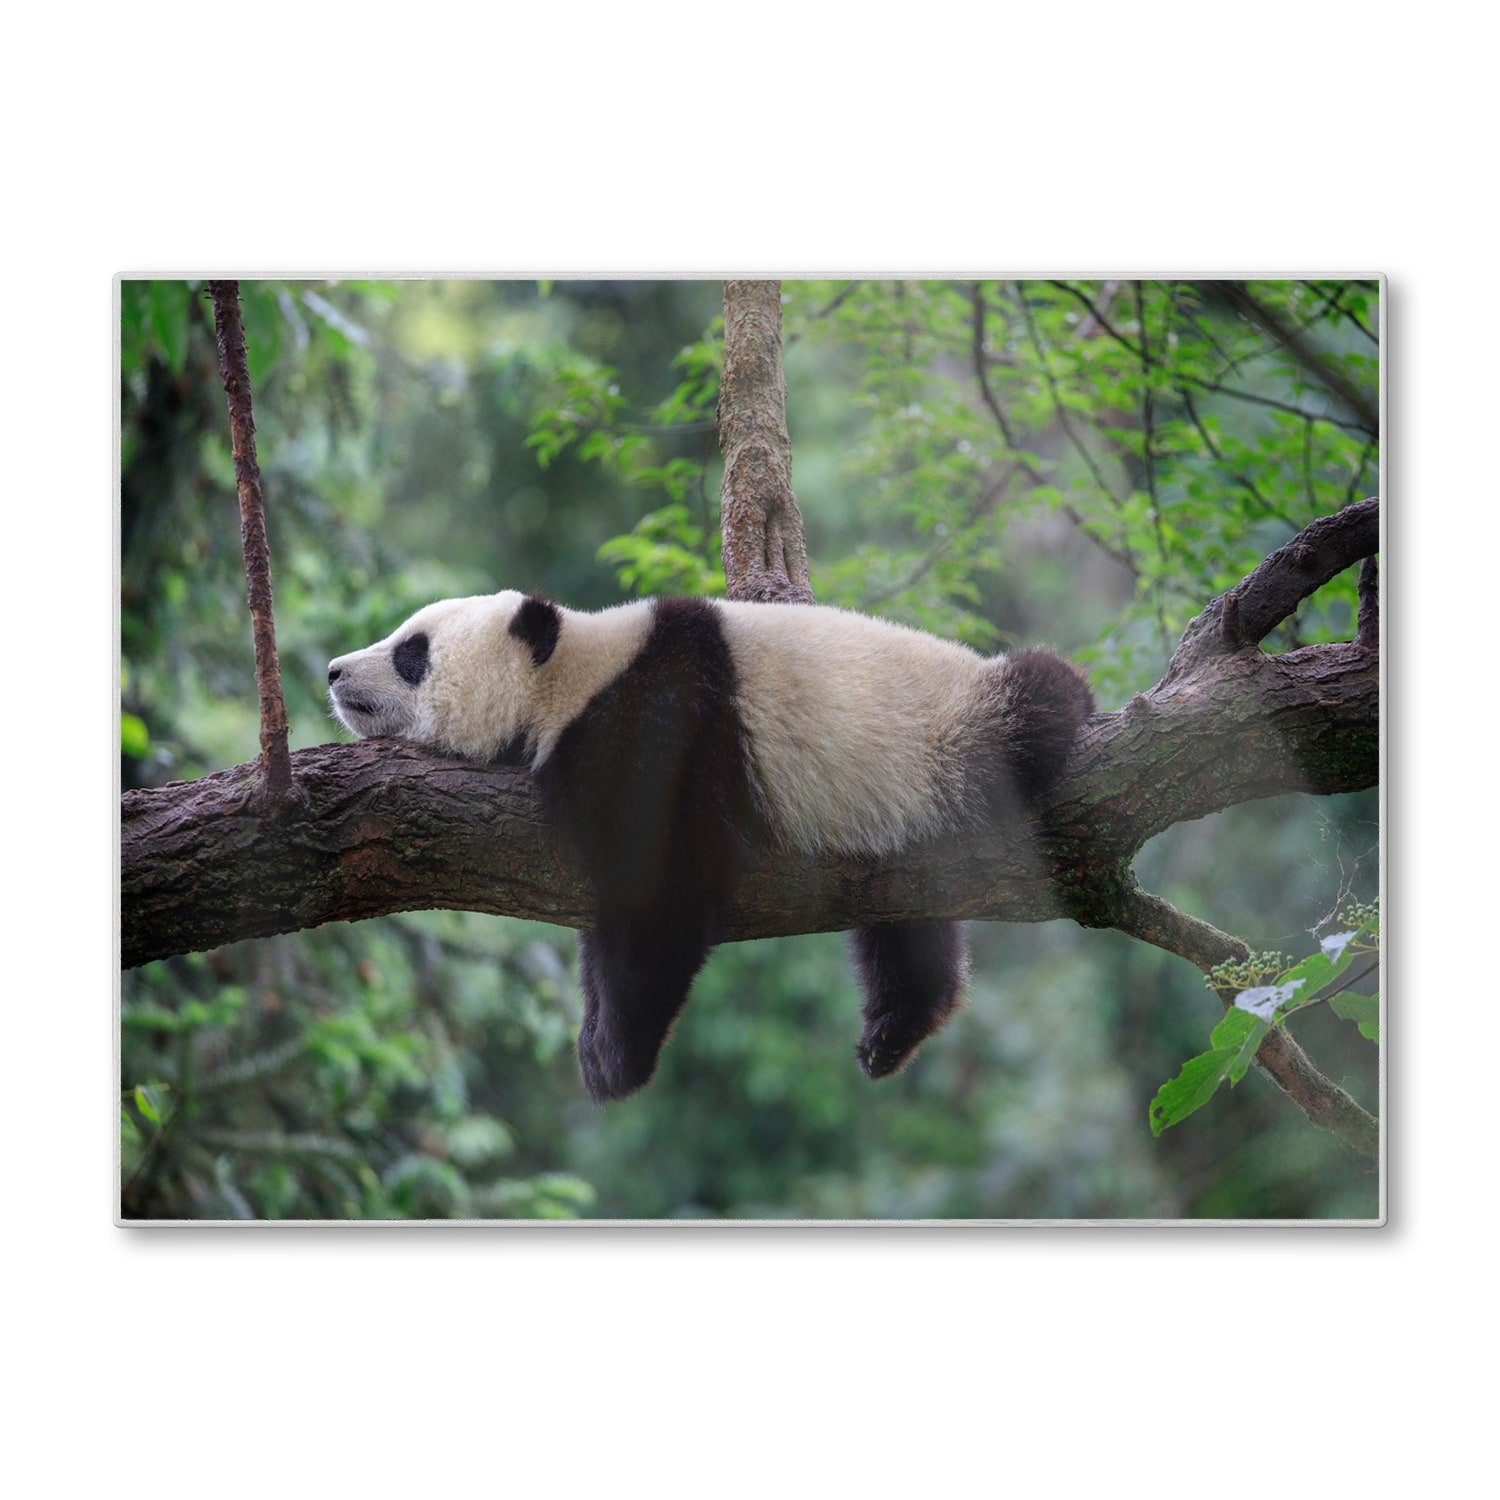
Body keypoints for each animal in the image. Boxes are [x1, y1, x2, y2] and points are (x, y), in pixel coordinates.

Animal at [327, 591, 1093, 1102]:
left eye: (412, 652)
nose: (334, 671)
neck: (573, 672)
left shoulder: (659, 720)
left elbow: (662, 890)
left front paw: (614, 1057)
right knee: (906, 925)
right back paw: (894, 1029)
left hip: (950, 734)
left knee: (1038, 701)